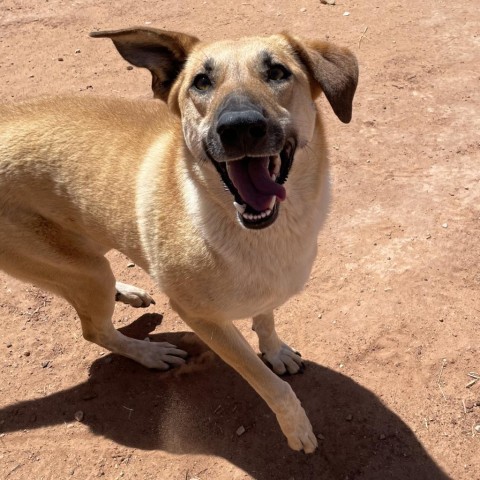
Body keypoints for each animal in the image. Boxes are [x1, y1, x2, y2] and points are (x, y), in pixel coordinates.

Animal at [0, 29, 358, 454]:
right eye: (201, 82)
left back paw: (127, 291)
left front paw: (276, 351)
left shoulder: (266, 288)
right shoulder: (202, 318)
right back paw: (149, 352)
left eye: (277, 72)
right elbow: (268, 383)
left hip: (87, 252)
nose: (239, 127)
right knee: (94, 329)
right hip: (79, 269)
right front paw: (296, 427)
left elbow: (266, 321)